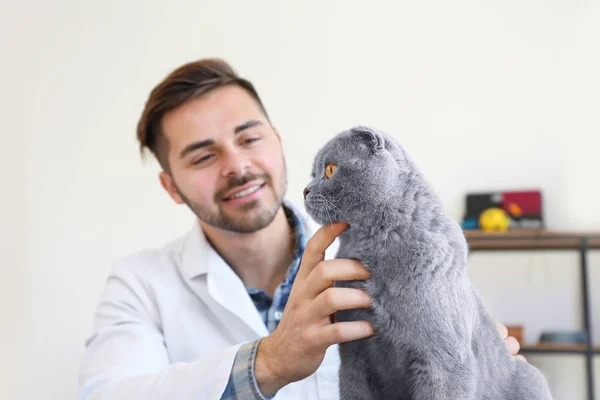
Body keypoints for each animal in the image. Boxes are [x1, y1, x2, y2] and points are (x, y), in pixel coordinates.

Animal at [304, 126, 552, 400]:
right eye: (313, 174)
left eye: (330, 169)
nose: (305, 190)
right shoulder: (353, 361)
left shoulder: (444, 364)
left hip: (531, 379)